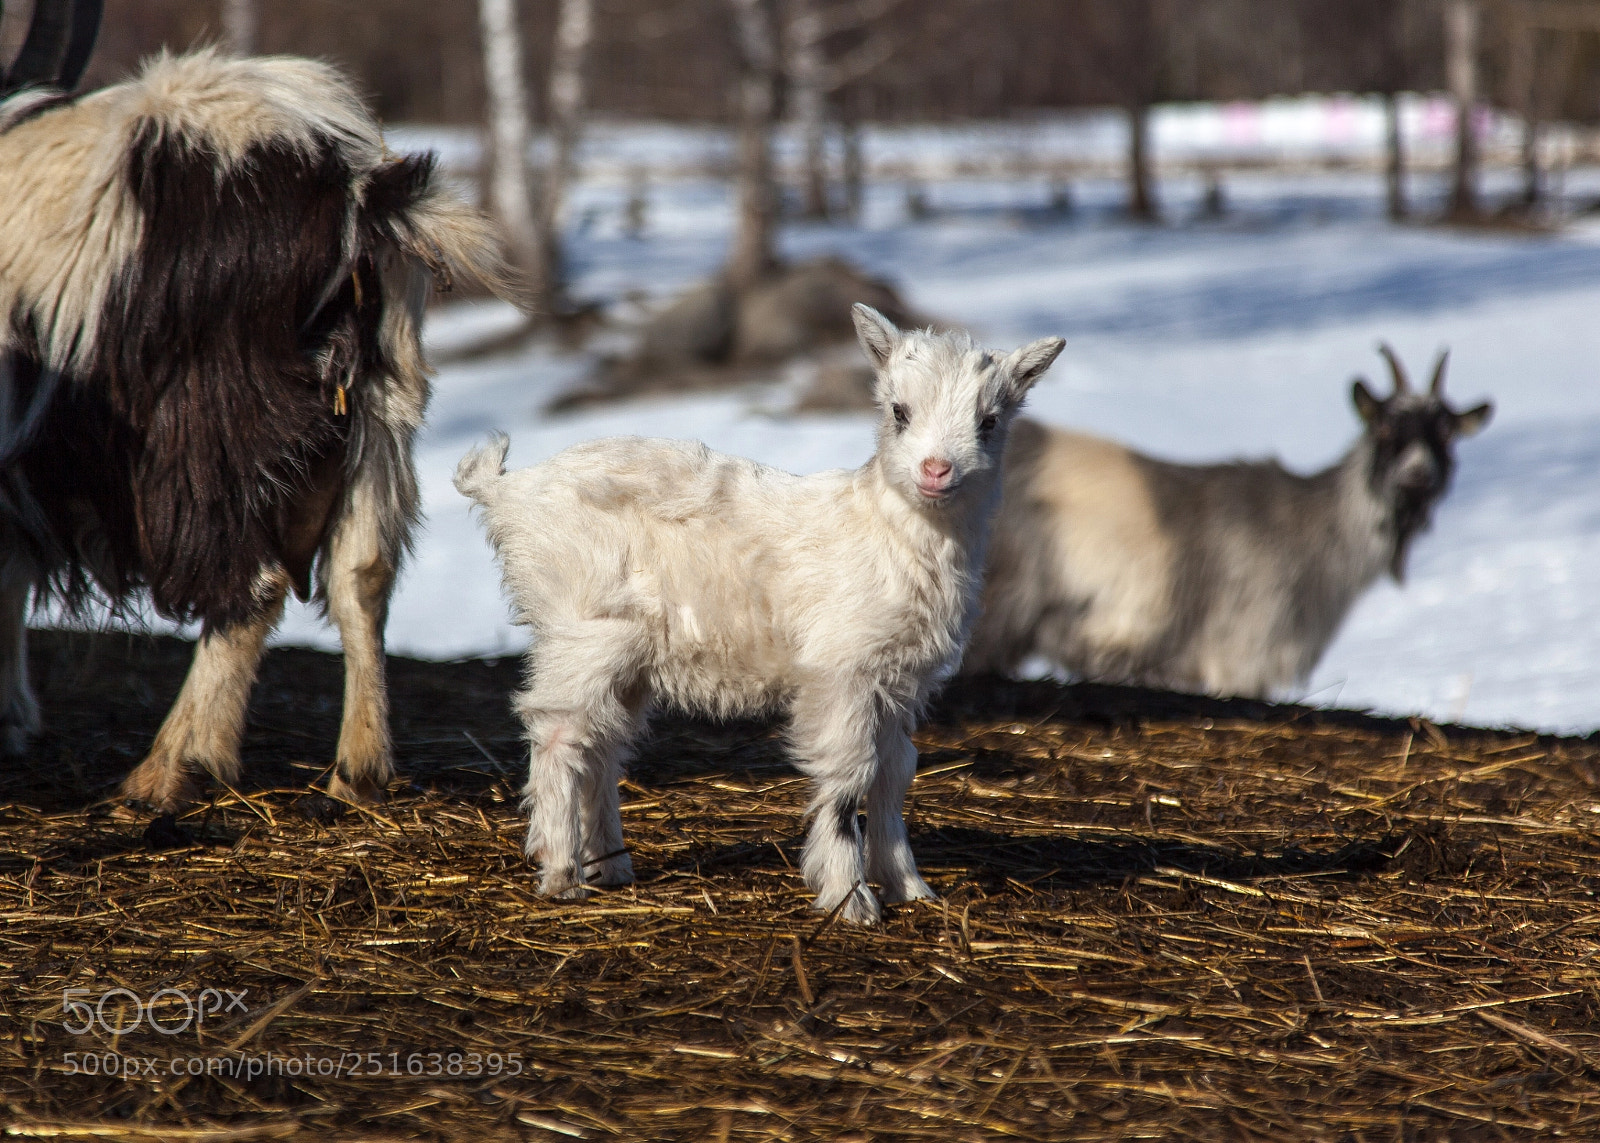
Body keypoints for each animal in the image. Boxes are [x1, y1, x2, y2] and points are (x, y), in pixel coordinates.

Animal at [0, 11, 508, 807]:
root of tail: (356, 189)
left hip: (208, 427)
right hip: (382, 407)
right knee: (363, 575)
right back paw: (357, 771)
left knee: (251, 583)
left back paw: (172, 766)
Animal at [456, 306, 1063, 923]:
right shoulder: (841, 672)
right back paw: (561, 874)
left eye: (989, 421)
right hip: (582, 628)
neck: (883, 531)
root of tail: (506, 492)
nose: (936, 470)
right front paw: (851, 899)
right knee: (559, 734)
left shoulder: (900, 681)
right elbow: (850, 776)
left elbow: (894, 772)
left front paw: (909, 887)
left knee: (601, 744)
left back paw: (610, 866)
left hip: (624, 654)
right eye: (899, 411)